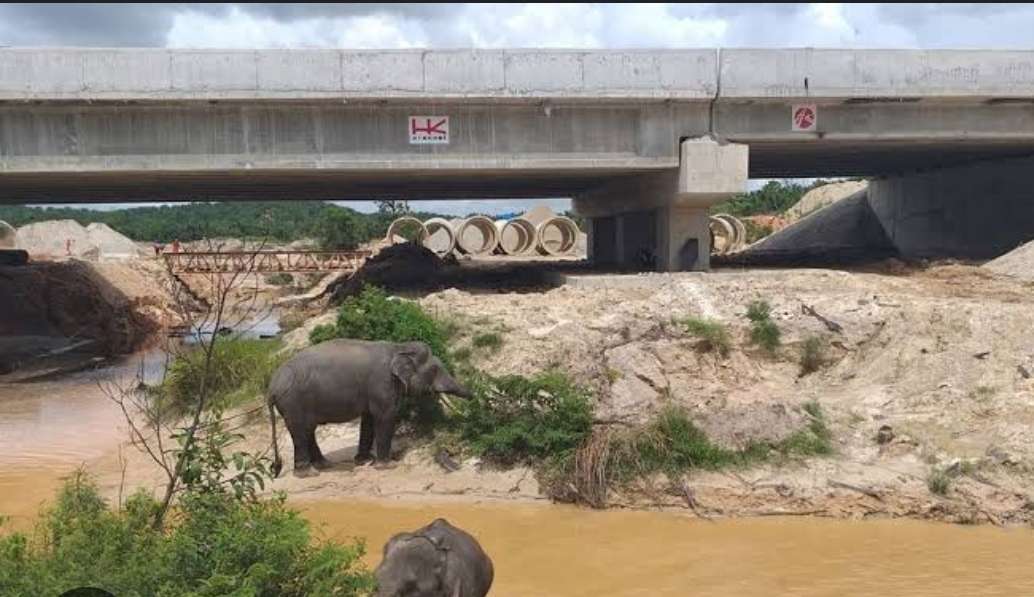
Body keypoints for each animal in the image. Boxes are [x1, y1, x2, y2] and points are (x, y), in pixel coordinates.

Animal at [268, 339, 473, 475]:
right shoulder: (382, 384)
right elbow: (385, 417)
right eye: (434, 370)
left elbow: (368, 419)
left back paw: (324, 465)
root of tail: (271, 387)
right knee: (300, 431)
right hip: (293, 402)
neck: (398, 347)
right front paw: (387, 466)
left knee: (308, 430)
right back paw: (309, 473)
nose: (474, 399)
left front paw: (364, 461)